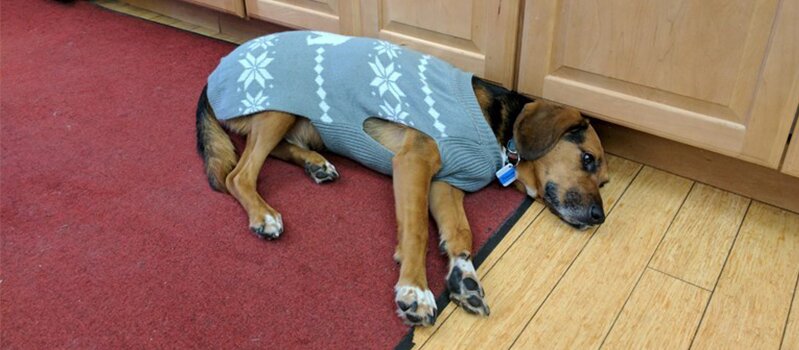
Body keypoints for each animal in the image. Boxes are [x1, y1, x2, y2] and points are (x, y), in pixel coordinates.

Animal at [197, 31, 608, 326]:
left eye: (604, 182)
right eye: (587, 159)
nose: (599, 218)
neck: (499, 131)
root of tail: (218, 69)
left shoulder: (446, 184)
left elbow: (460, 233)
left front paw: (463, 275)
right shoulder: (415, 162)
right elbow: (416, 230)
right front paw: (414, 290)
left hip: (300, 124)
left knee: (278, 149)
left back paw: (316, 164)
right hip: (278, 109)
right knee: (238, 174)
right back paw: (264, 215)